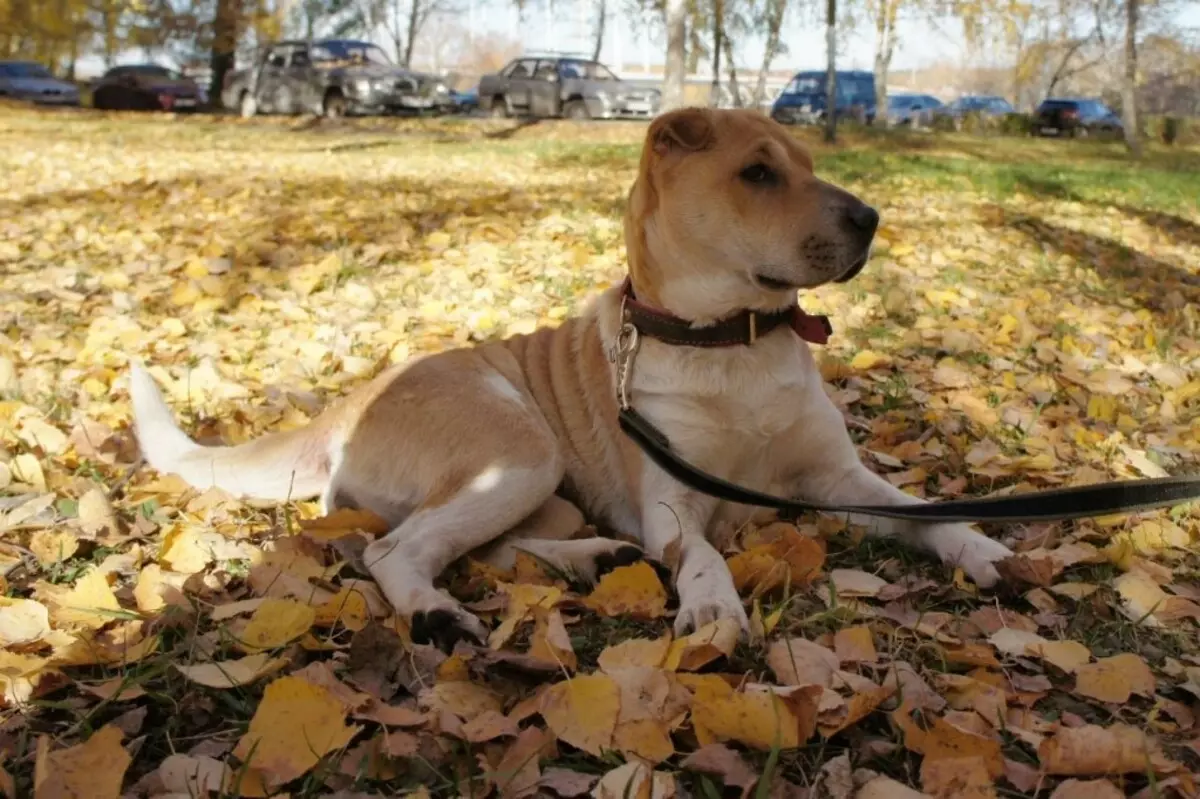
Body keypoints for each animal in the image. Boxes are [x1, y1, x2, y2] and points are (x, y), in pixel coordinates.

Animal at [129, 105, 1012, 652]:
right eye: (758, 173)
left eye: (808, 165)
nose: (871, 220)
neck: (733, 342)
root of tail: (347, 404)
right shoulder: (671, 506)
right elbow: (703, 552)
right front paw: (713, 601)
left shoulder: (836, 479)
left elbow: (920, 512)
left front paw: (977, 545)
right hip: (520, 449)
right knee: (397, 552)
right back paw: (438, 615)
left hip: (534, 487)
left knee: (484, 545)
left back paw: (592, 557)